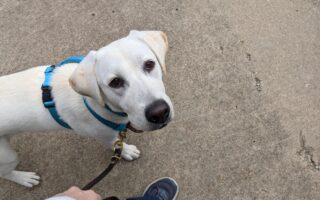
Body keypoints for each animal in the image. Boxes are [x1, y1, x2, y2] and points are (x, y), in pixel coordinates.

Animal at [0, 30, 172, 188]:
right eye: (115, 82)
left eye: (149, 64)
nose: (159, 113)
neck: (95, 102)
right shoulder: (104, 136)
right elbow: (116, 144)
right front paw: (126, 151)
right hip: (8, 156)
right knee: (5, 174)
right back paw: (24, 178)